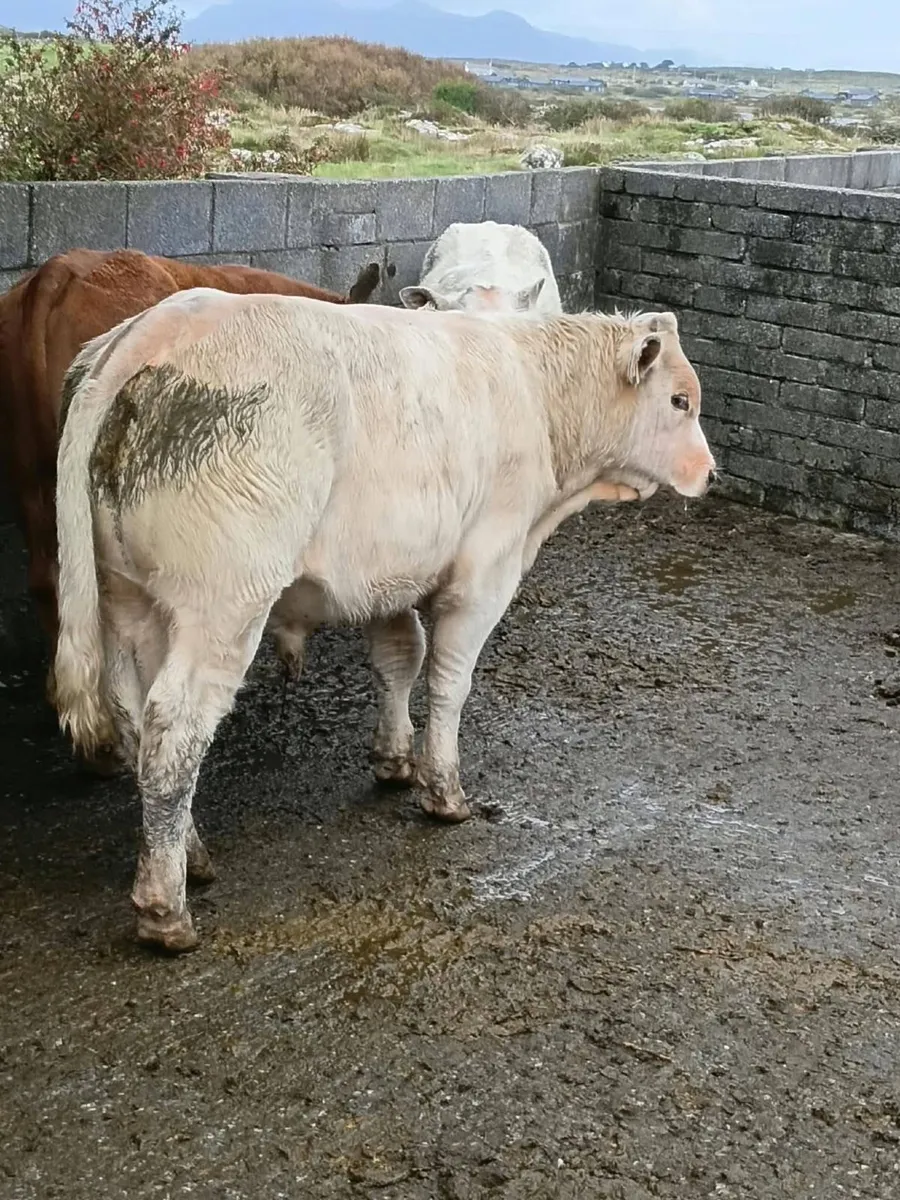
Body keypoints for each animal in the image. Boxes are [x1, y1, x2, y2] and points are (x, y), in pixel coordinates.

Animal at [54, 289, 715, 952]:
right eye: (679, 400)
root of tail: (165, 322)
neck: (535, 391)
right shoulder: (486, 568)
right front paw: (443, 790)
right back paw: (166, 909)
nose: (710, 474)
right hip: (223, 601)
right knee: (175, 728)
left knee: (135, 719)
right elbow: (449, 679)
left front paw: (394, 760)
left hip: (127, 599)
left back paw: (190, 854)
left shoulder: (388, 575)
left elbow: (399, 659)